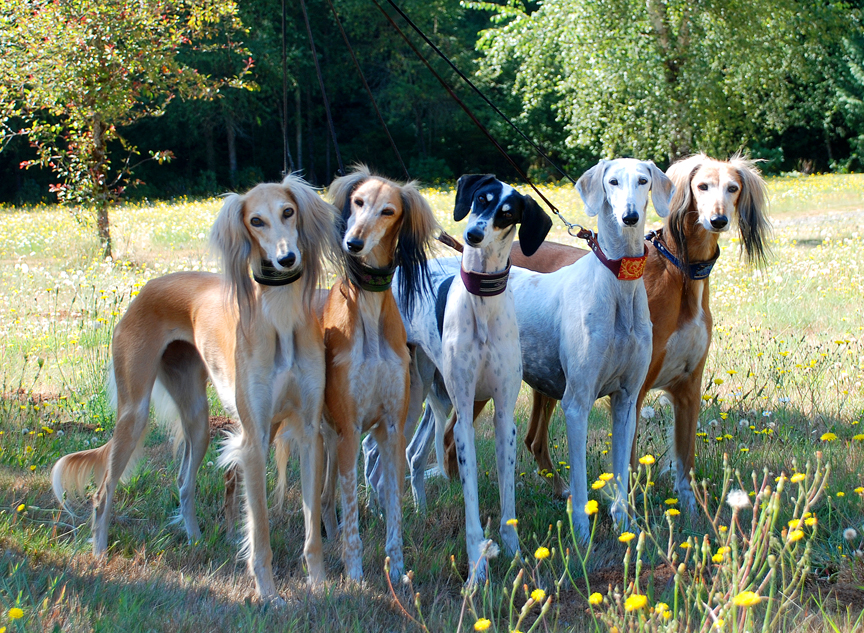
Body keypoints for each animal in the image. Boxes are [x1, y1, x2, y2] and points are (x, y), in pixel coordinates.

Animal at [49, 175, 340, 600]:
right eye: (255, 220)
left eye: (288, 211)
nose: (287, 259)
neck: (280, 319)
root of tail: (146, 289)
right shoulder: (253, 442)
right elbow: (260, 530)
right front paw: (268, 594)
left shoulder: (307, 432)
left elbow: (312, 527)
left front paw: (319, 586)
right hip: (134, 412)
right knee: (103, 492)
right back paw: (100, 555)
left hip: (198, 419)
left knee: (184, 484)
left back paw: (196, 541)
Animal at [318, 165, 438, 580]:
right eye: (357, 202)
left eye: (388, 211)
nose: (353, 242)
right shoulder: (350, 427)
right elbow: (352, 508)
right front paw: (354, 574)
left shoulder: (391, 426)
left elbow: (395, 507)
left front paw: (397, 569)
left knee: (325, 499)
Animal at [442, 153, 768, 508]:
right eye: (702, 186)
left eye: (733, 188)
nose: (718, 220)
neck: (677, 272)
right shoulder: (632, 392)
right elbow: (629, 466)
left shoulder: (686, 388)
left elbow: (685, 466)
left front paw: (690, 512)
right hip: (485, 386)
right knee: (448, 437)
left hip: (544, 381)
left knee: (533, 440)